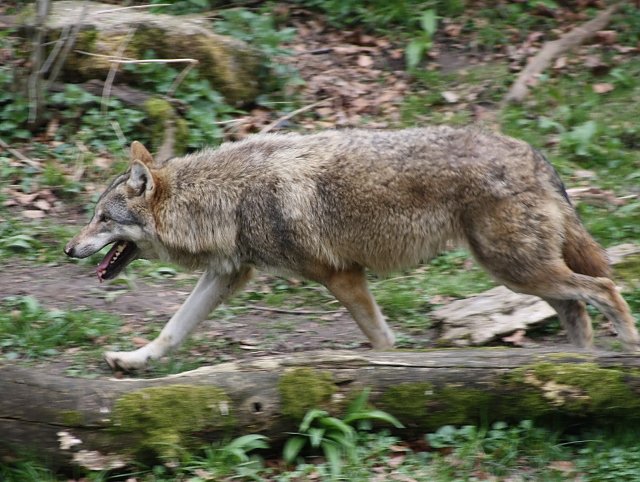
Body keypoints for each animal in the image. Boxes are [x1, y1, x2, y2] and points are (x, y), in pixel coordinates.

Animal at [63, 127, 636, 370]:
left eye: (102, 218)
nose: (69, 249)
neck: (227, 199)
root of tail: (535, 153)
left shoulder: (342, 276)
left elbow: (383, 341)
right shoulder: (228, 275)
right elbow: (172, 330)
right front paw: (132, 361)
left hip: (515, 270)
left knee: (605, 288)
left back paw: (623, 353)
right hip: (520, 272)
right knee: (578, 307)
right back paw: (576, 370)